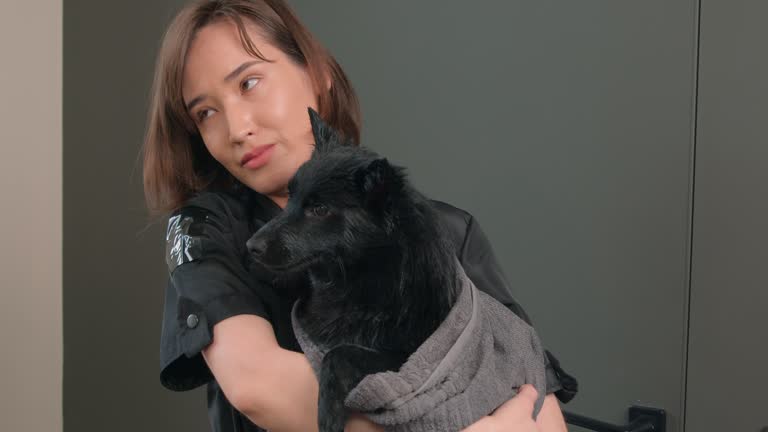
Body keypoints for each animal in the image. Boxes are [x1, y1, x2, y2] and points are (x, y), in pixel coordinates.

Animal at [249, 108, 460, 432]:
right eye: (289, 197)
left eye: (319, 209)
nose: (251, 246)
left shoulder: (409, 359)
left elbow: (340, 353)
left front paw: (328, 413)